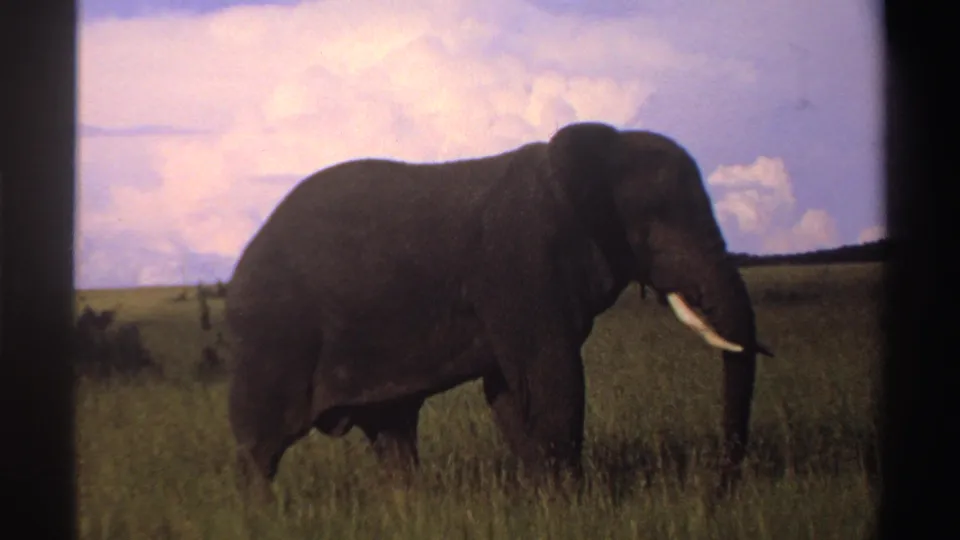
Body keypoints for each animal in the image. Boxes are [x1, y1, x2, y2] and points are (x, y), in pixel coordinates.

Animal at [225, 121, 772, 502]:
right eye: (660, 225)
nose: (718, 491)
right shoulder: (523, 260)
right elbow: (552, 378)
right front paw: (570, 506)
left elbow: (511, 390)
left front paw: (544, 500)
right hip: (270, 339)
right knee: (260, 450)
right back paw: (263, 516)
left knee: (392, 434)